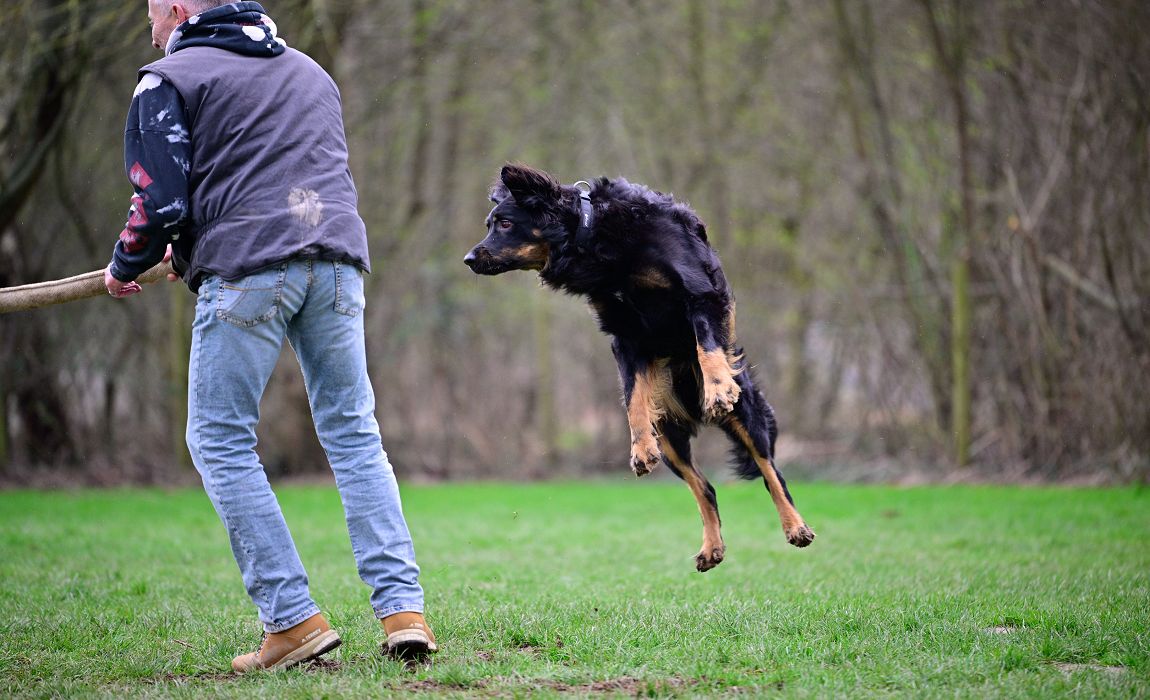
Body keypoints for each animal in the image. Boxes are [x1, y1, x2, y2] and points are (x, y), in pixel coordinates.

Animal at [462, 165, 814, 572]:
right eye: (489, 224)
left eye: (504, 223)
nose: (468, 258)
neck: (595, 236)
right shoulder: (626, 337)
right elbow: (633, 398)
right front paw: (640, 448)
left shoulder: (697, 293)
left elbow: (706, 346)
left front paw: (717, 387)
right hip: (671, 436)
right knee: (705, 487)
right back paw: (712, 547)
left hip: (748, 414)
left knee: (772, 472)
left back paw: (795, 526)